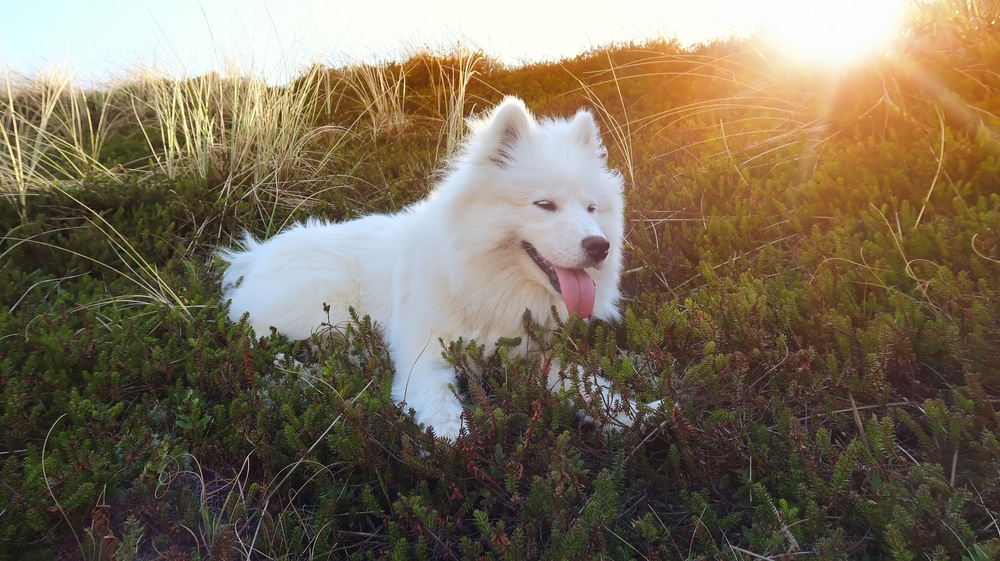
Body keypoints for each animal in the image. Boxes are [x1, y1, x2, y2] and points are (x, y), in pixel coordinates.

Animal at [220, 95, 660, 438]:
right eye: (544, 205)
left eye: (591, 208)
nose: (600, 247)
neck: (483, 280)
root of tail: (255, 254)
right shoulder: (425, 356)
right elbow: (441, 410)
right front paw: (458, 444)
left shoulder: (534, 355)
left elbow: (589, 386)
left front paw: (639, 414)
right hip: (318, 308)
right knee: (255, 337)